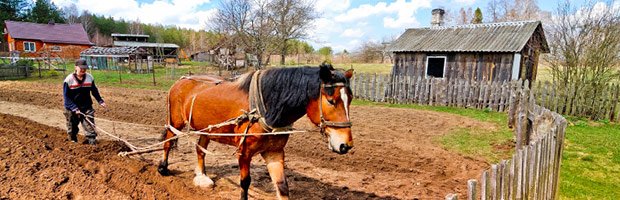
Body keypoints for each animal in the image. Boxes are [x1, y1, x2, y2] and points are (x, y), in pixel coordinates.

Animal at [157, 64, 356, 200]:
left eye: (351, 99)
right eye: (331, 100)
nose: (345, 145)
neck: (265, 108)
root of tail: (181, 80)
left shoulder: (274, 151)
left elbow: (282, 186)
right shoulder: (244, 152)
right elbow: (245, 183)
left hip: (208, 129)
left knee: (200, 149)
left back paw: (201, 176)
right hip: (175, 121)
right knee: (168, 141)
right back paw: (163, 168)